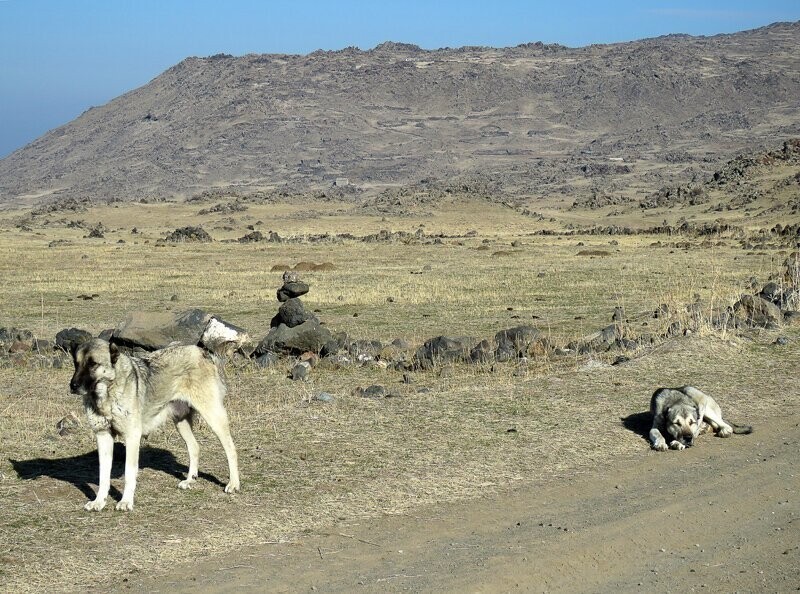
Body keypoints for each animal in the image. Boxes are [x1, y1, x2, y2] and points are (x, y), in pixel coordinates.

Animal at [70, 338, 239, 508]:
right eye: (76, 363)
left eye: (93, 364)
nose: (73, 386)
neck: (107, 395)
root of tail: (202, 351)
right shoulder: (103, 436)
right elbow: (103, 476)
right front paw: (99, 502)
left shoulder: (132, 437)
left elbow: (129, 473)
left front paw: (126, 501)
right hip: (180, 422)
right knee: (195, 447)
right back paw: (190, 480)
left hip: (213, 417)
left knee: (231, 449)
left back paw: (233, 484)